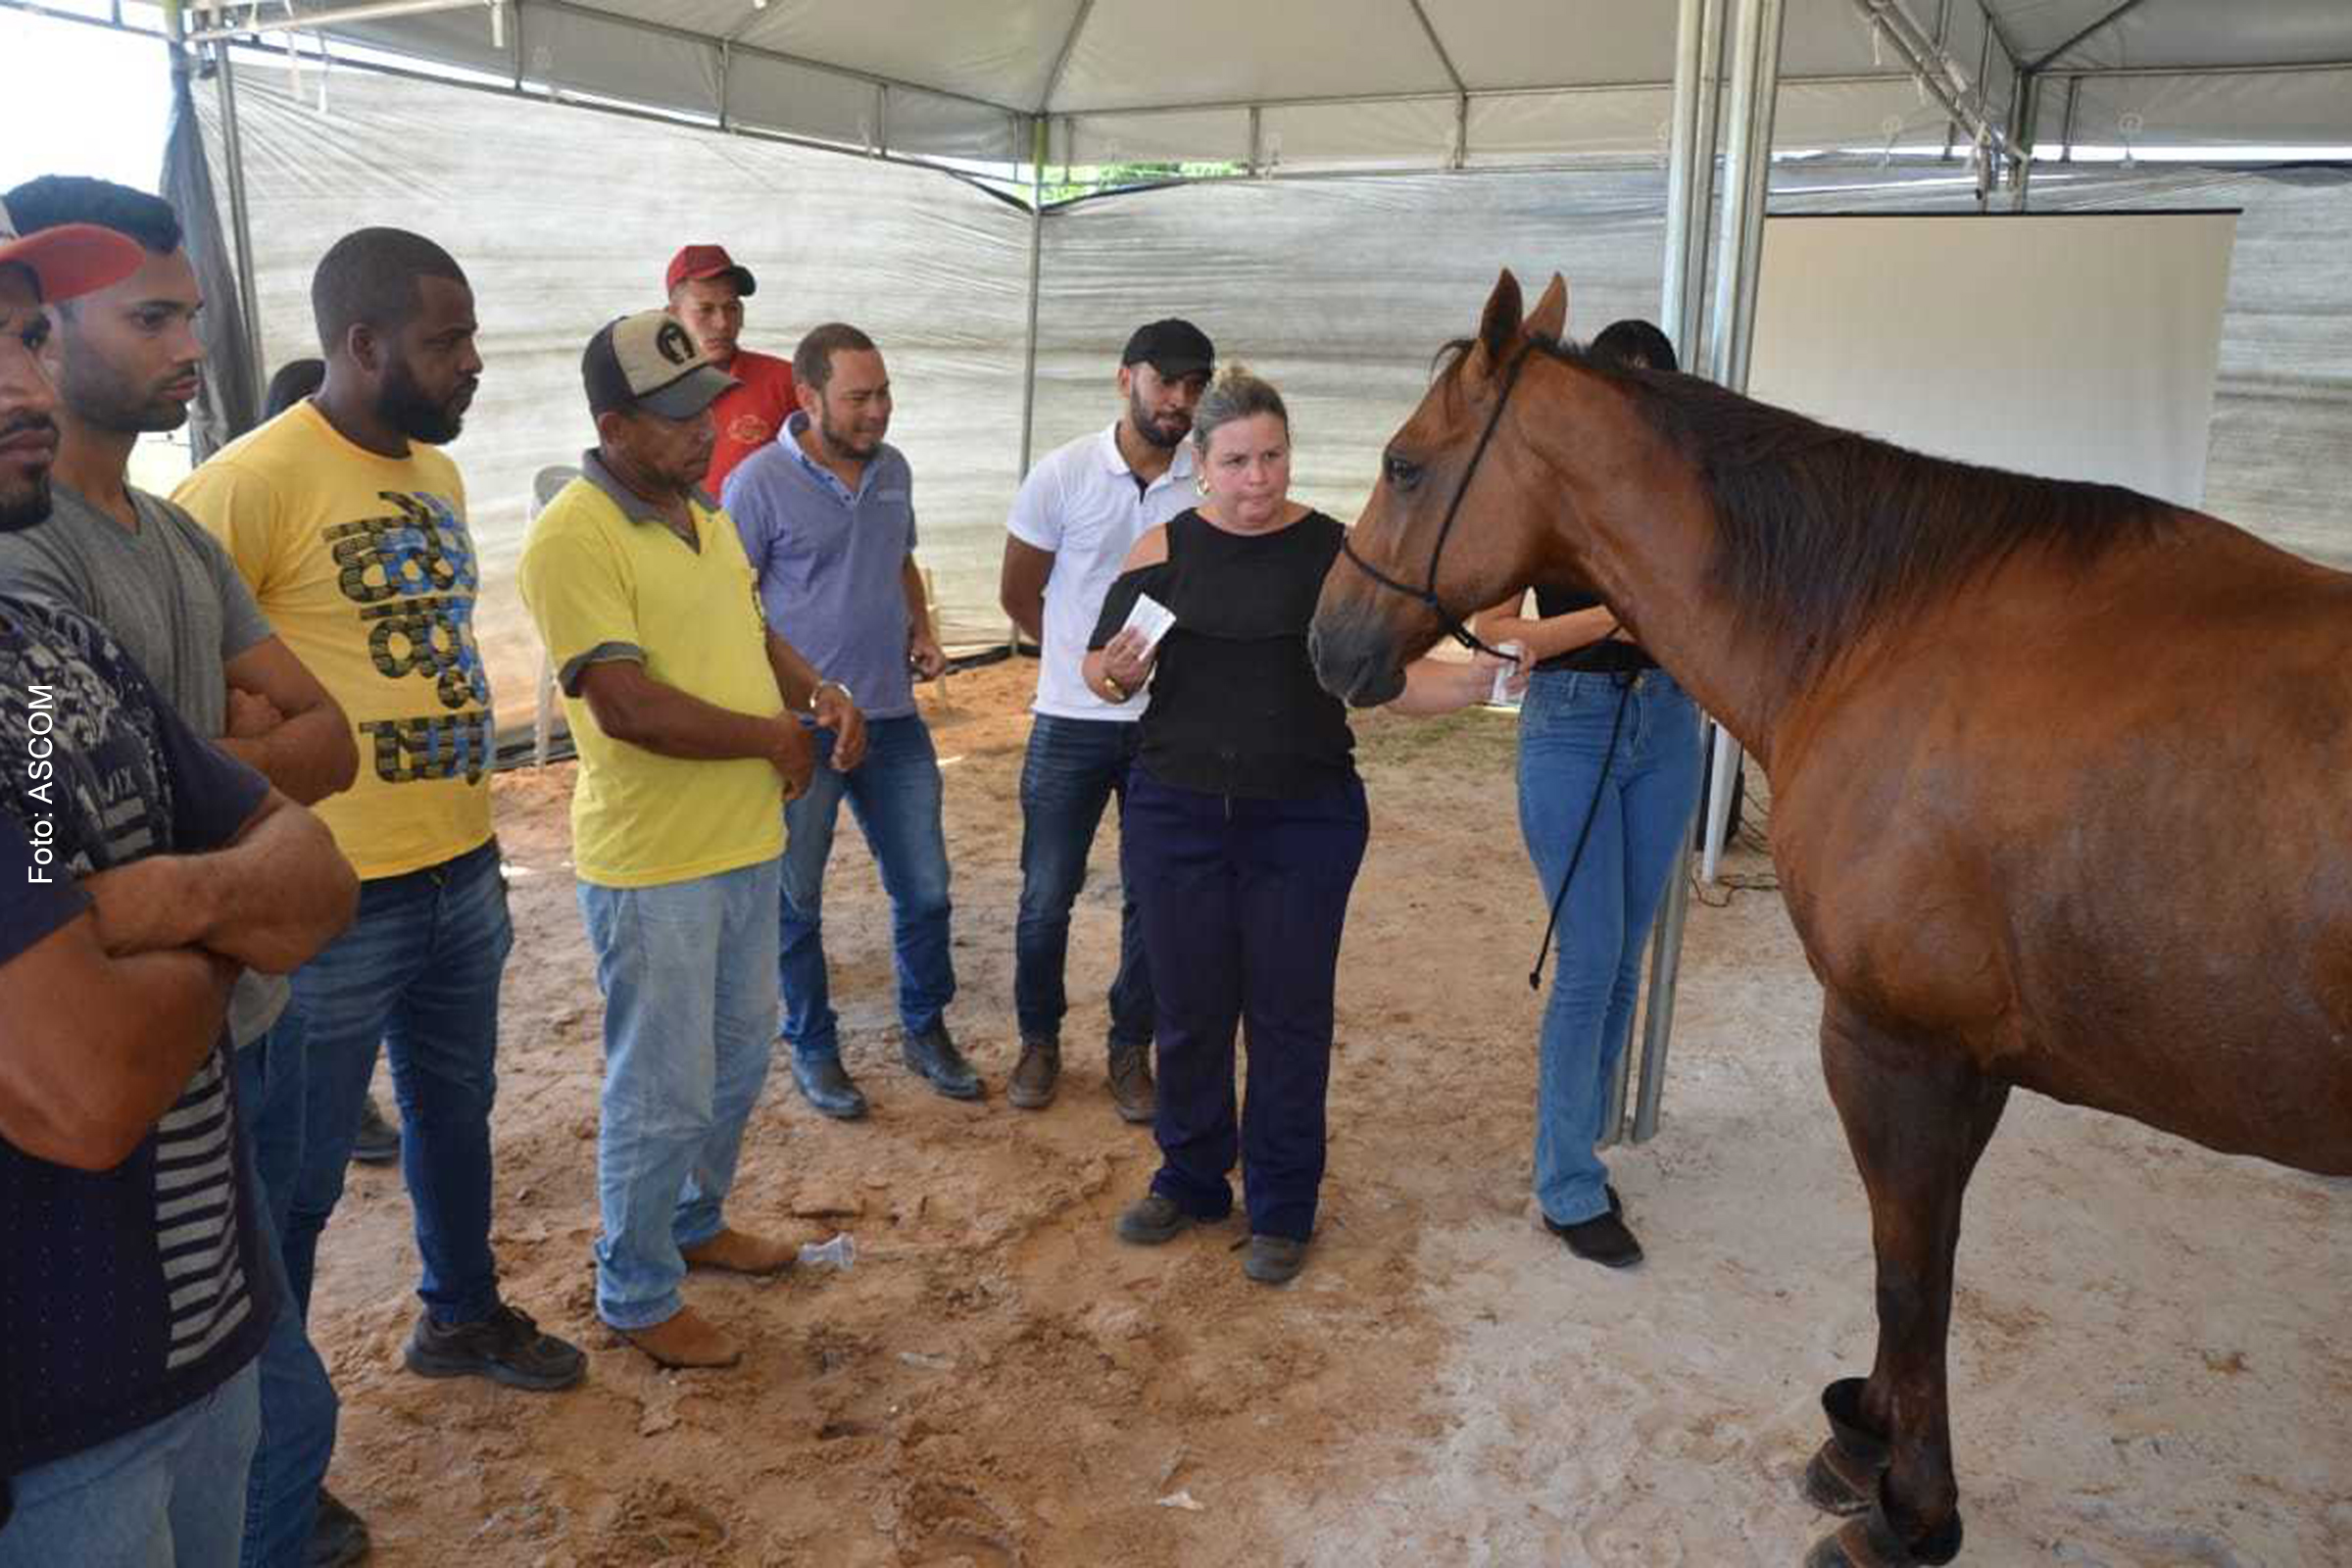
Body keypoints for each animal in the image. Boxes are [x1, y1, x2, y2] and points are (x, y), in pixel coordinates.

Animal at [1309, 269, 2352, 1568]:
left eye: (1404, 464)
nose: (1326, 640)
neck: (1884, 625)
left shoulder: (1890, 1041)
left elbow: (1908, 1271)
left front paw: (1907, 1507)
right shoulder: (1965, 1057)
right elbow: (1925, 1254)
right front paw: (1868, 1434)